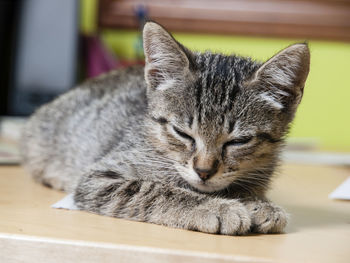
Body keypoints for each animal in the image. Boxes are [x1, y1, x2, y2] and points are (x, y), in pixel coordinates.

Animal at [21, 22, 308, 236]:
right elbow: (154, 190)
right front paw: (218, 208)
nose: (203, 171)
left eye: (238, 141)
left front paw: (259, 203)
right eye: (182, 133)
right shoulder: (98, 179)